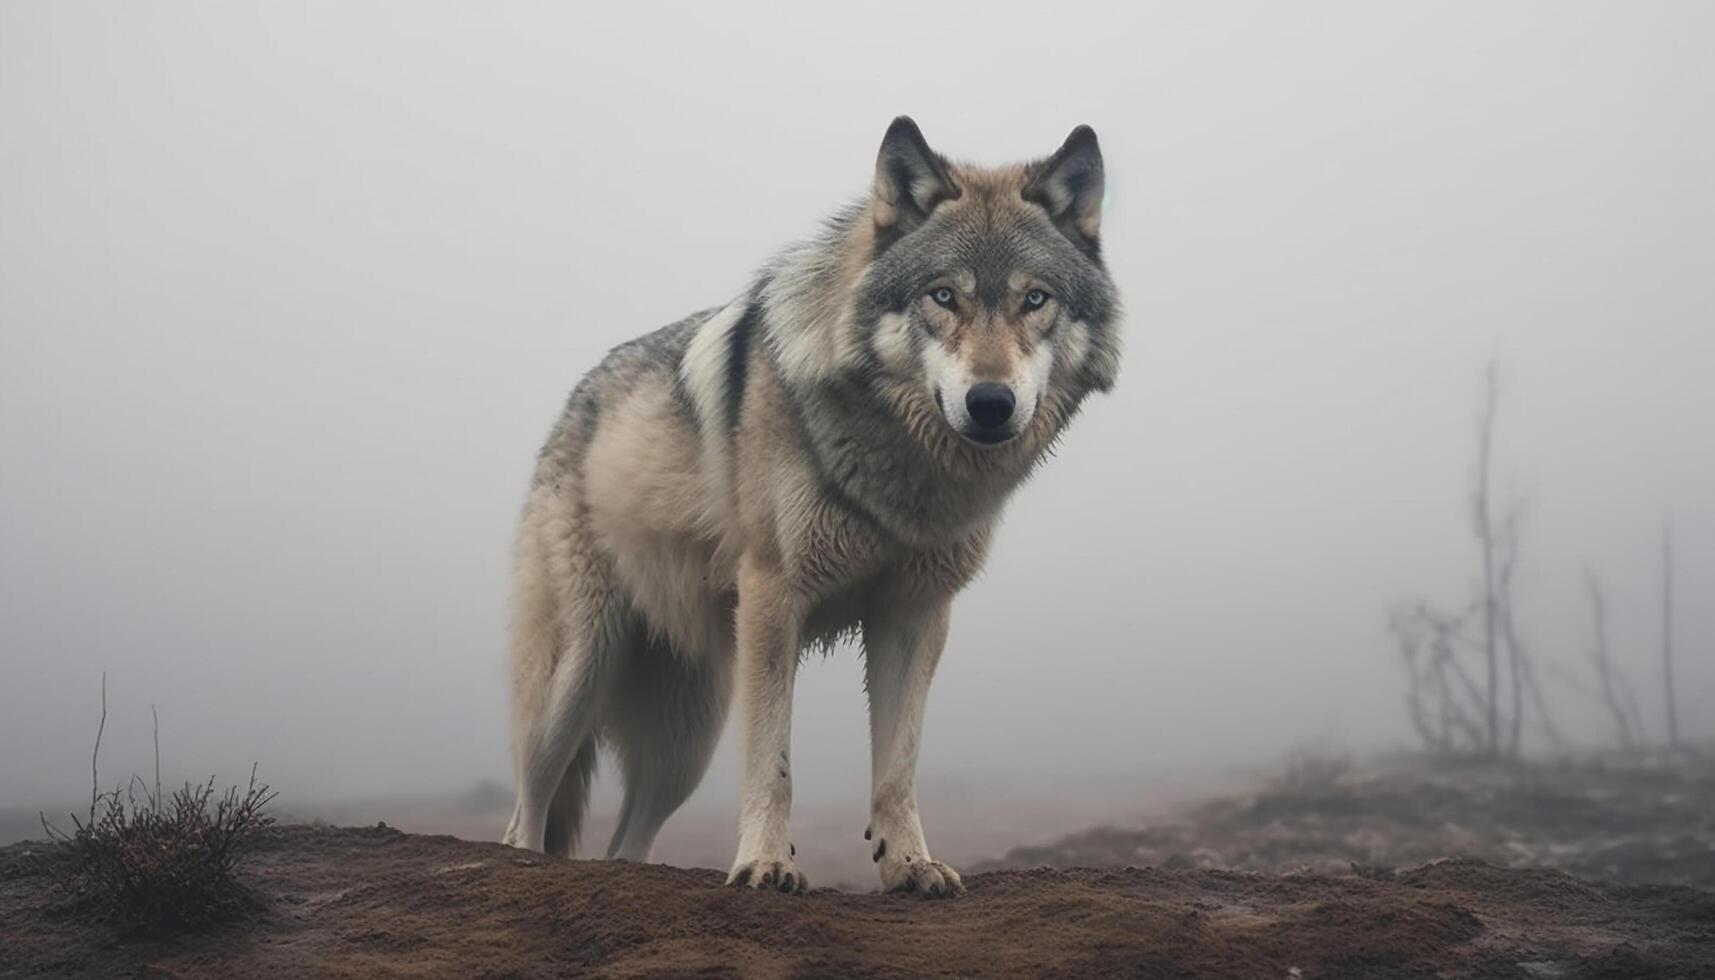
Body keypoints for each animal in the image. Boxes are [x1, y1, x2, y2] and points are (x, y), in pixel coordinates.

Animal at [504, 116, 1125, 899]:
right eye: (943, 296)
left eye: (1034, 299)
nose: (990, 403)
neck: (900, 471)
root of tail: (575, 400)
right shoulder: (775, 598)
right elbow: (774, 763)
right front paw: (766, 865)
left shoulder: (915, 614)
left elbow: (898, 766)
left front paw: (909, 865)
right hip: (576, 679)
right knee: (524, 813)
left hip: (684, 744)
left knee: (624, 843)